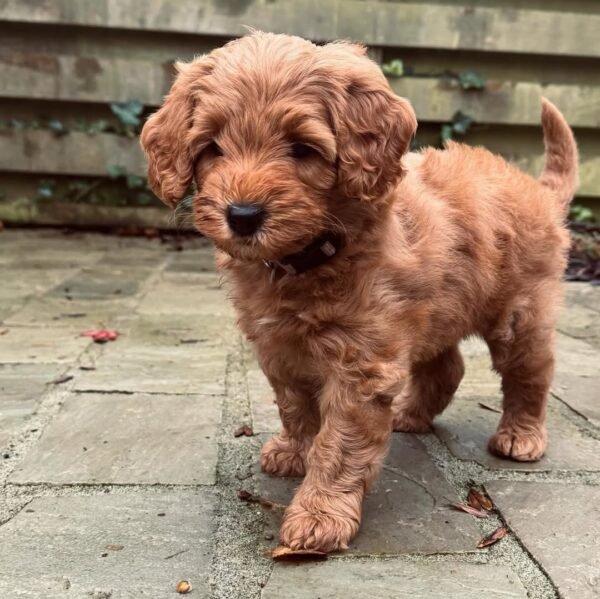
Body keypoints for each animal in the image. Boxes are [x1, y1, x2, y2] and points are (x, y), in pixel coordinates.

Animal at [141, 31, 576, 552]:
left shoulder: (360, 365)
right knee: (446, 367)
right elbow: (295, 408)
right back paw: (410, 415)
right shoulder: (279, 349)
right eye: (212, 146)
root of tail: (539, 189)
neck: (312, 254)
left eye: (302, 148)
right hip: (435, 310)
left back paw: (521, 435)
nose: (242, 215)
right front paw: (294, 452)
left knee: (531, 372)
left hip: (521, 314)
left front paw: (319, 514)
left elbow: (340, 443)